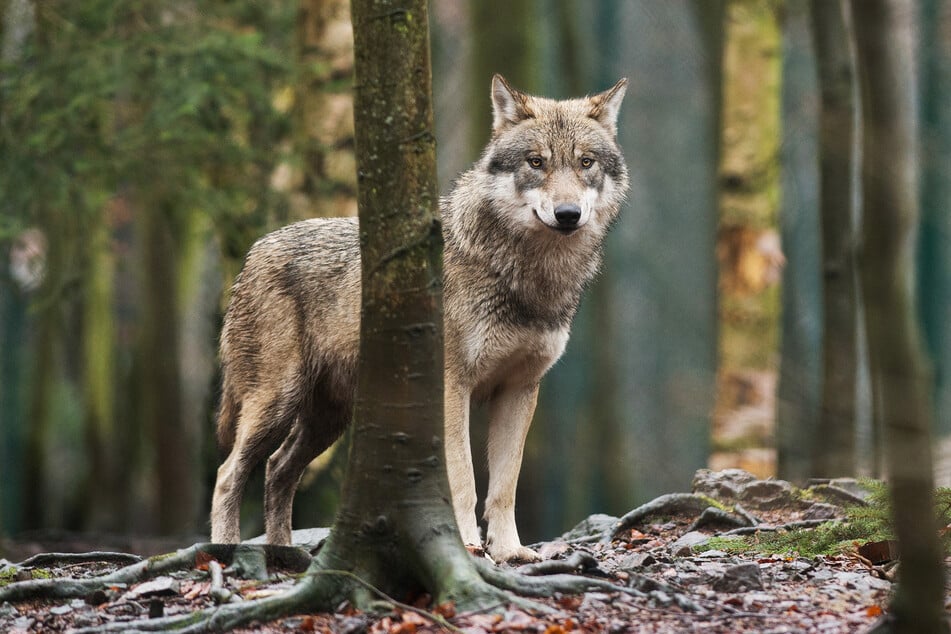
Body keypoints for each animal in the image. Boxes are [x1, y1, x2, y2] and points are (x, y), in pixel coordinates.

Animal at [210, 75, 629, 562]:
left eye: (585, 163)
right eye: (536, 162)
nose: (567, 214)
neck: (527, 276)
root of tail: (253, 252)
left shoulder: (520, 390)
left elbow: (505, 486)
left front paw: (510, 552)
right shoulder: (452, 386)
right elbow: (464, 481)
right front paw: (466, 545)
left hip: (327, 420)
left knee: (277, 470)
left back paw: (284, 555)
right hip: (277, 403)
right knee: (228, 474)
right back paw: (225, 552)